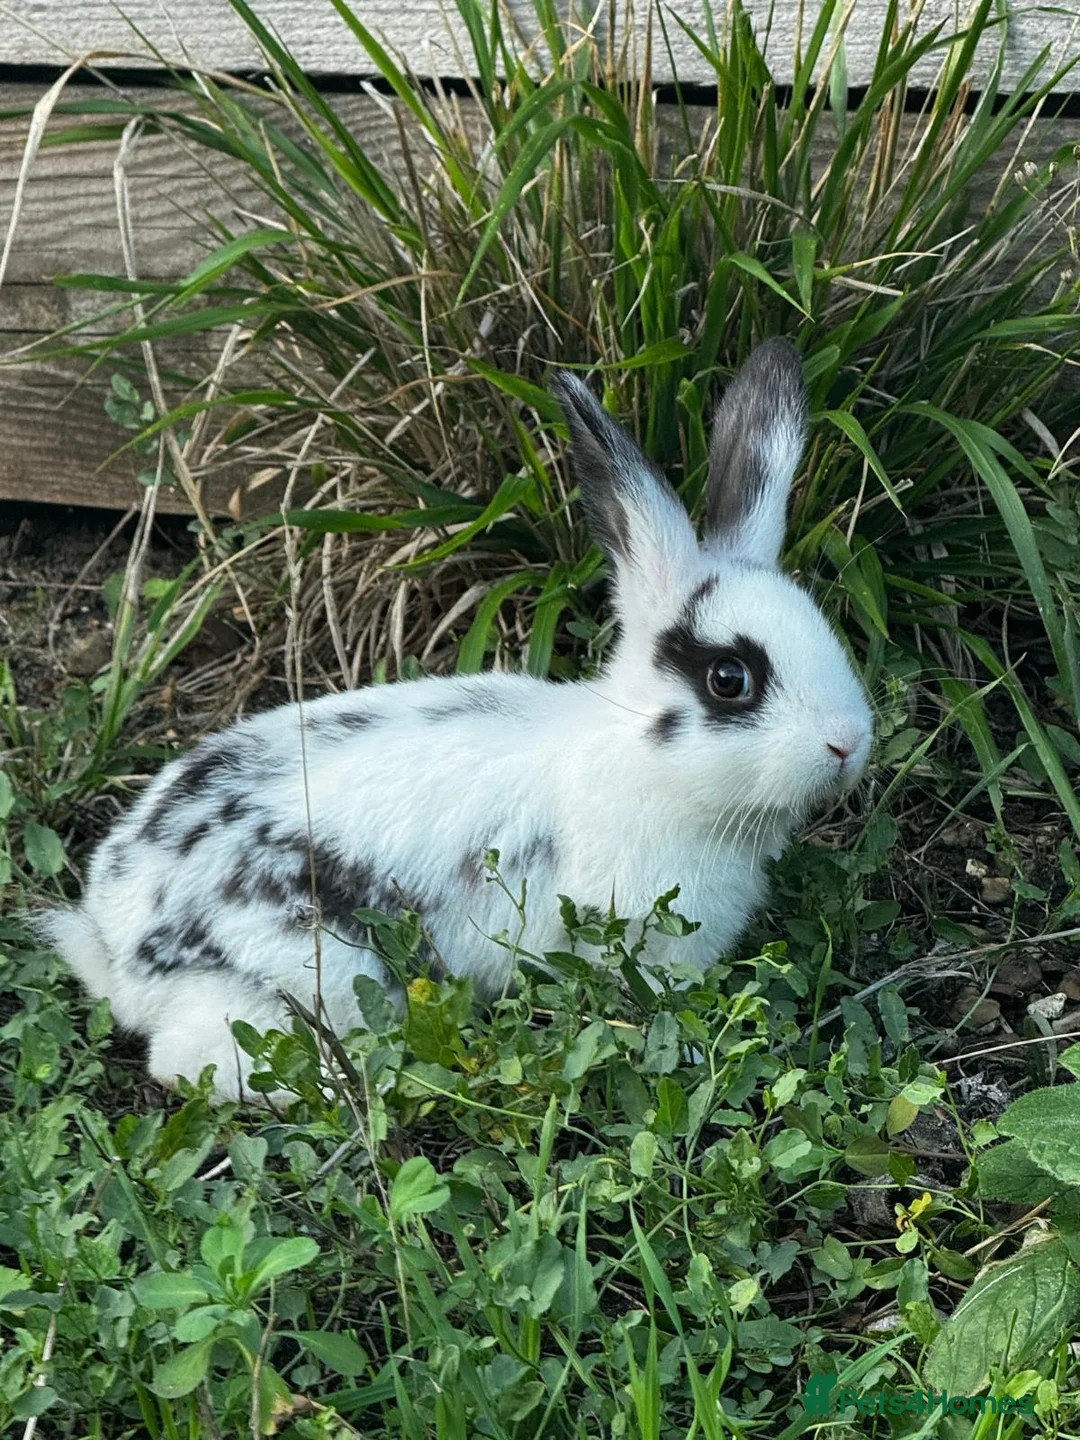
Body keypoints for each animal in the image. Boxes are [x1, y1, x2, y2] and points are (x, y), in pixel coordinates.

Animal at [39, 338, 873, 1102]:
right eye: (730, 679)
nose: (848, 743)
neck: (641, 766)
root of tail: (116, 944)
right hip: (309, 970)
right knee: (190, 1062)